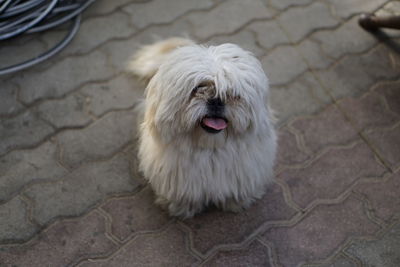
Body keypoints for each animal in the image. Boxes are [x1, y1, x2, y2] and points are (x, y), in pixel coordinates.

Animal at [130, 37, 276, 219]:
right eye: (198, 88)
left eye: (233, 93)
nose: (216, 101)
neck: (210, 148)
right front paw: (181, 208)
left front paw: (237, 202)